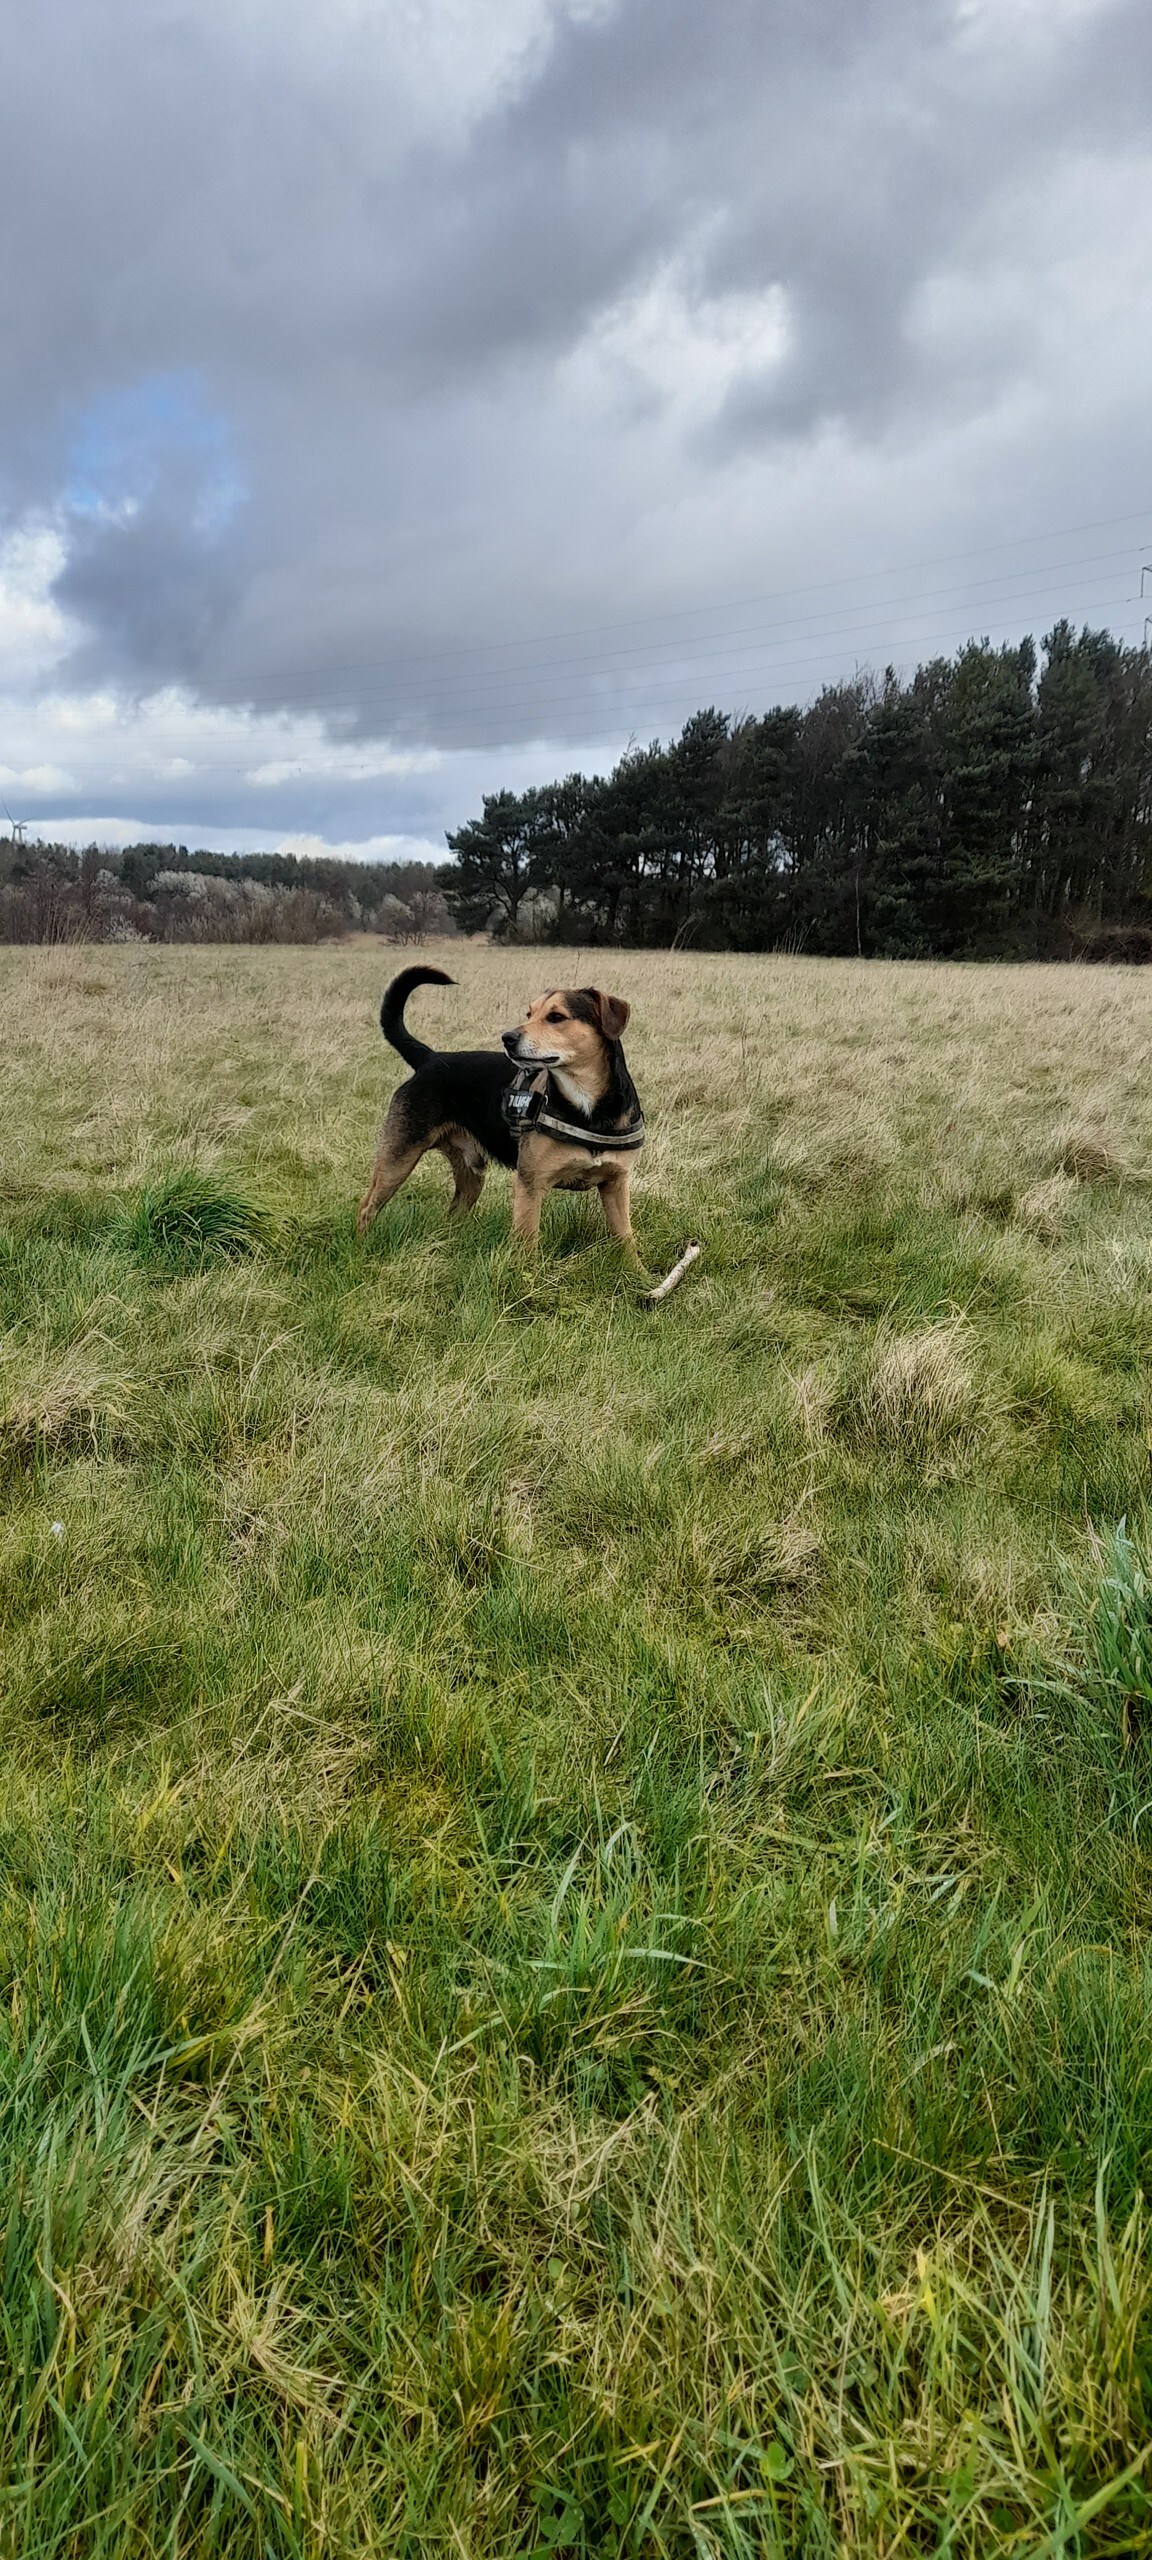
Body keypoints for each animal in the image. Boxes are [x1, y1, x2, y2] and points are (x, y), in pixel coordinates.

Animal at [355, 967, 642, 1259]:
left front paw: (635, 1270)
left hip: (470, 1175)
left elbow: (626, 1239)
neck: (589, 1107)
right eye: (529, 1014)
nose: (508, 1038)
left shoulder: (615, 1185)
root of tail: (430, 1058)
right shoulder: (530, 1185)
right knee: (366, 1207)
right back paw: (362, 1249)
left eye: (556, 1017)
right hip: (397, 1159)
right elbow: (528, 1246)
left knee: (452, 1214)